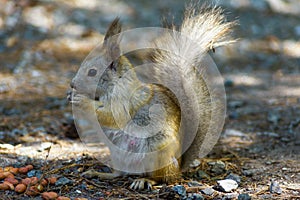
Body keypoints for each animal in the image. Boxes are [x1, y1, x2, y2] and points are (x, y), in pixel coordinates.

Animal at [68, 3, 234, 191]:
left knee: (164, 179)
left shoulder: (124, 103)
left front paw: (81, 101)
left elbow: (110, 116)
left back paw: (145, 181)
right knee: (119, 173)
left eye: (92, 72)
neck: (115, 85)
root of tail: (179, 165)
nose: (72, 84)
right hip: (118, 155)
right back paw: (99, 173)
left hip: (157, 151)